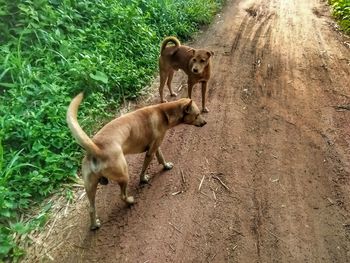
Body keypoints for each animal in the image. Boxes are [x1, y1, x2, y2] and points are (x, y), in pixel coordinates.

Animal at [67, 94, 206, 230]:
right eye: (197, 114)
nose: (205, 122)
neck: (164, 112)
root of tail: (96, 149)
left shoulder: (155, 147)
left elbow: (161, 157)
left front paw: (166, 166)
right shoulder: (150, 152)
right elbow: (144, 169)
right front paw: (143, 179)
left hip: (90, 187)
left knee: (91, 208)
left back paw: (94, 225)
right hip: (123, 175)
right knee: (122, 196)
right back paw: (130, 201)